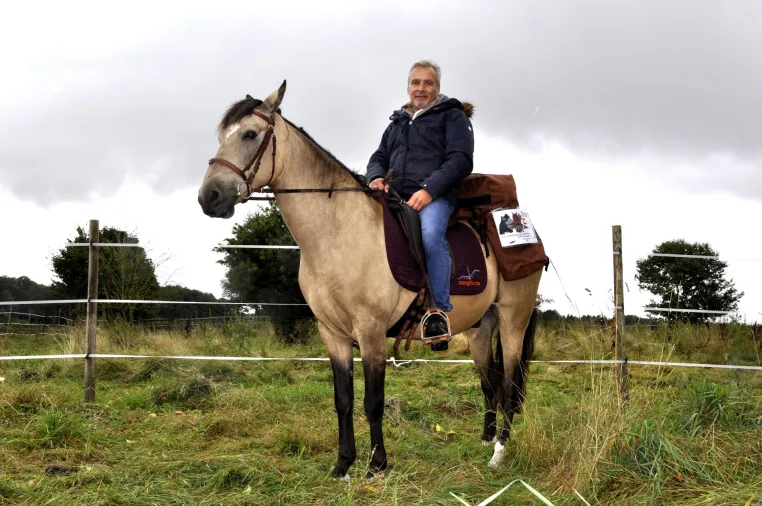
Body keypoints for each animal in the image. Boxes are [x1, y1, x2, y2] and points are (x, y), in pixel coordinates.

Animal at [197, 81, 542, 478]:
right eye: (222, 136)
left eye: (250, 134)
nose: (209, 197)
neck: (338, 233)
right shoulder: (332, 334)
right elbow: (343, 399)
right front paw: (343, 464)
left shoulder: (371, 331)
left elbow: (373, 401)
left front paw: (377, 464)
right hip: (481, 328)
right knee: (489, 383)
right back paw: (485, 440)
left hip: (513, 319)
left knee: (509, 383)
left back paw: (499, 451)